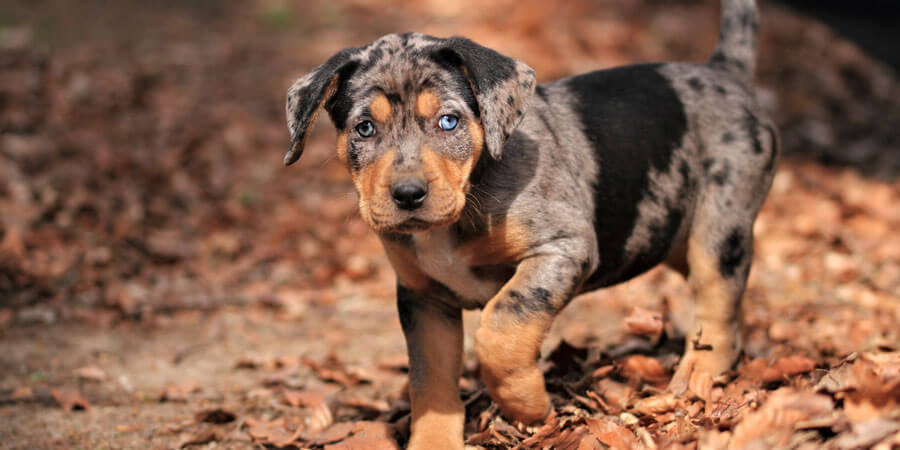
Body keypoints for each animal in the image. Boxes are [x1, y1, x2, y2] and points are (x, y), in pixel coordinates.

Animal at [284, 0, 776, 446]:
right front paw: (435, 440)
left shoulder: (562, 248)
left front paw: (529, 407)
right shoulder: (423, 299)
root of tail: (725, 73)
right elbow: (431, 383)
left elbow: (503, 324)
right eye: (365, 129)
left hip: (718, 229)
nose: (407, 195)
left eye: (449, 122)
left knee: (718, 306)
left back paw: (695, 379)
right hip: (671, 236)